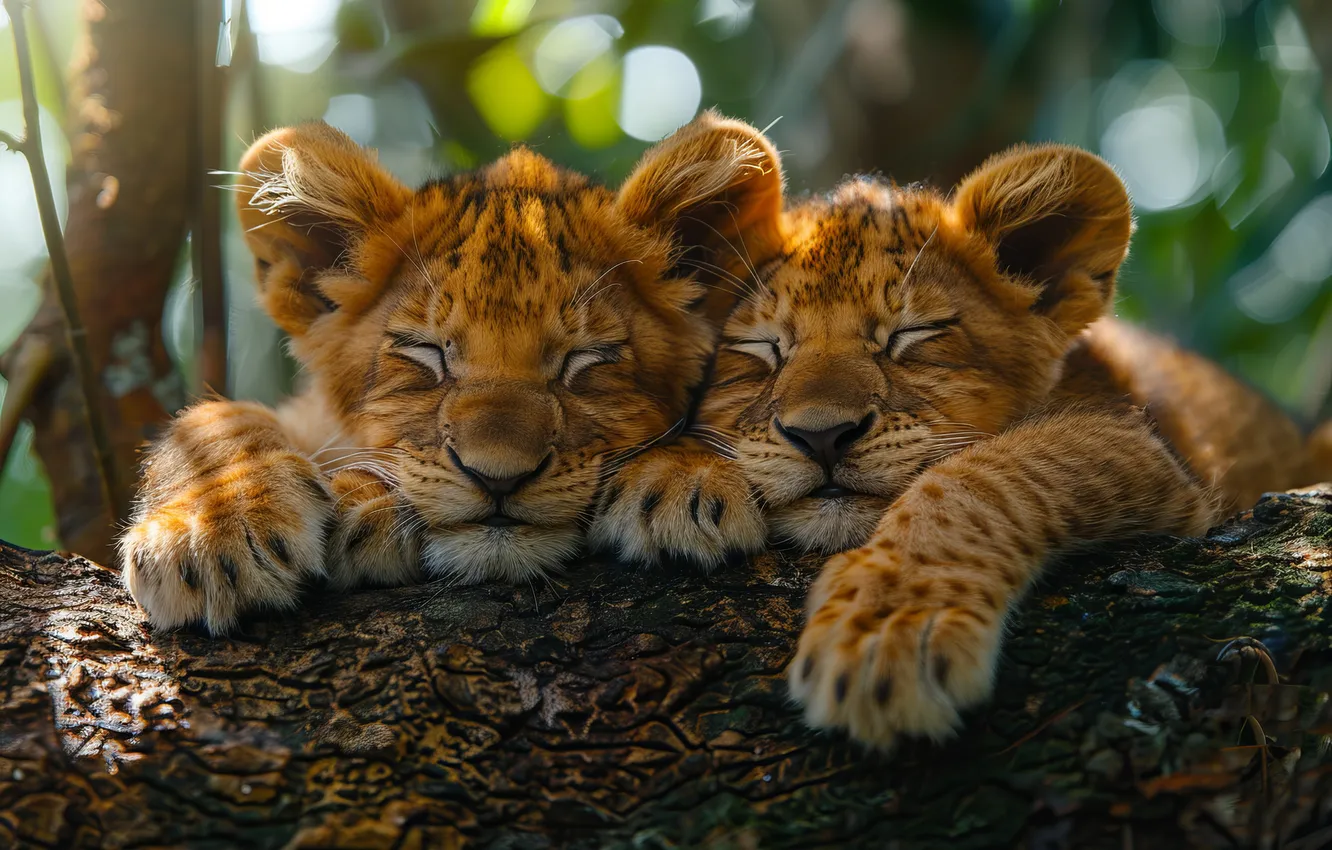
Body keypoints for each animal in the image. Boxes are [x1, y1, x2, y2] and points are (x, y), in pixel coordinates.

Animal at [119, 111, 784, 634]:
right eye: (425, 352)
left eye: (585, 359)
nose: (498, 478)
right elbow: (215, 418)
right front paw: (214, 530)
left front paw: (683, 479)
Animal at [627, 139, 1332, 748]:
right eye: (760, 348)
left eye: (912, 335)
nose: (821, 434)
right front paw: (672, 482)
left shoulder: (1145, 448)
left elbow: (982, 474)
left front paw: (888, 631)